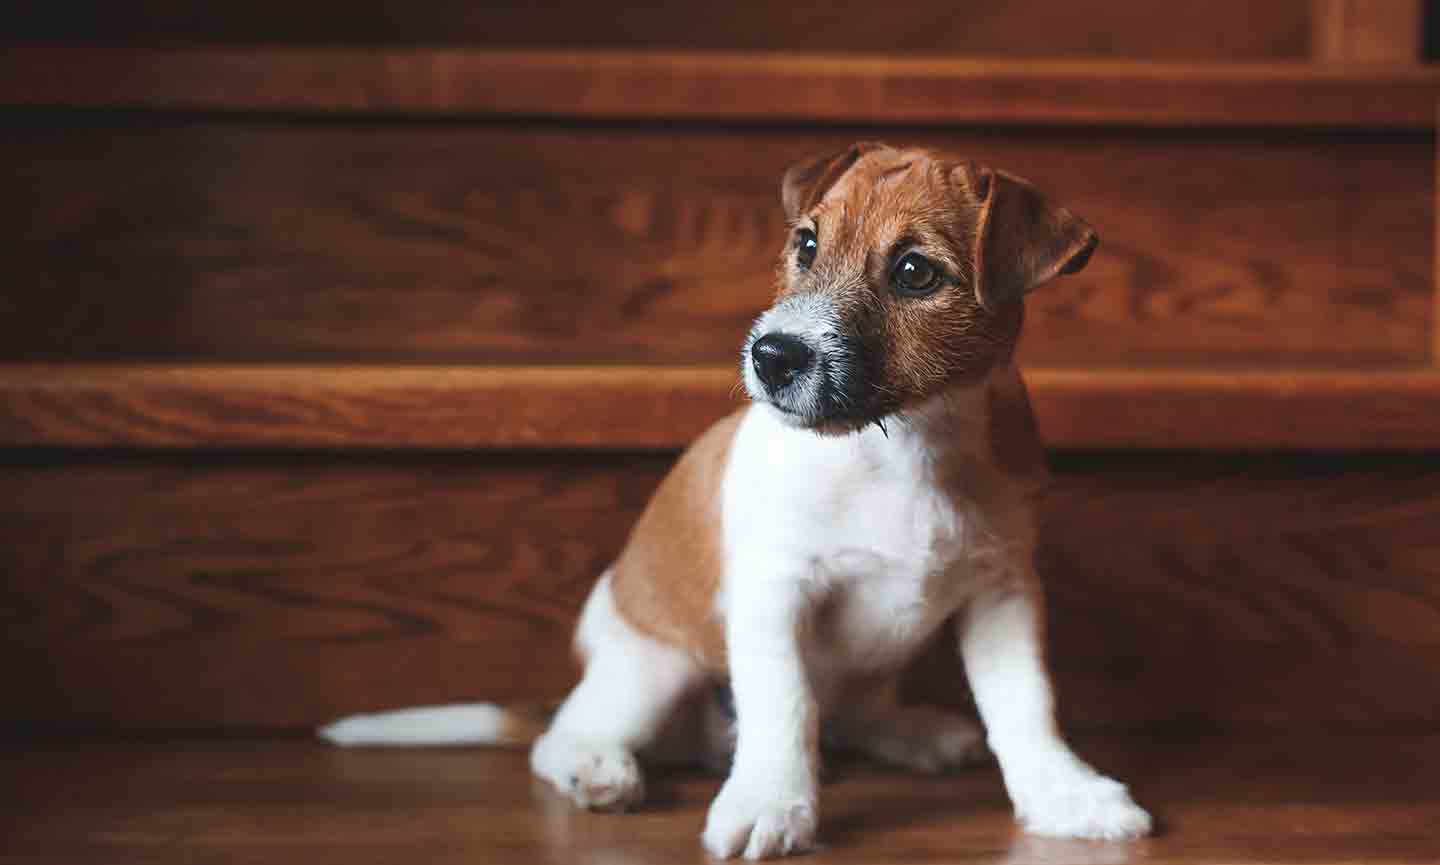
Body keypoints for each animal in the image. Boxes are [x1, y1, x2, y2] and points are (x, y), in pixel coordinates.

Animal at [321, 141, 1152, 857]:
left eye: (915, 272)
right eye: (806, 245)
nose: (773, 356)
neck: (905, 447)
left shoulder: (1002, 588)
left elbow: (1026, 704)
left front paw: (1064, 793)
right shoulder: (774, 590)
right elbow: (784, 704)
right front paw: (770, 804)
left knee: (850, 714)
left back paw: (916, 733)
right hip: (654, 666)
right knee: (562, 734)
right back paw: (599, 767)